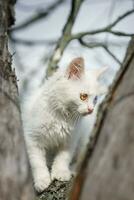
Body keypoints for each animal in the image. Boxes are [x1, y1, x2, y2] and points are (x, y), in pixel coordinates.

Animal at [22, 57, 107, 193]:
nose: (91, 110)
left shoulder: (70, 140)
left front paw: (60, 173)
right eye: (83, 96)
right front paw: (42, 180)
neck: (61, 117)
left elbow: (63, 158)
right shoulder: (32, 139)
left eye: (95, 100)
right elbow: (37, 162)